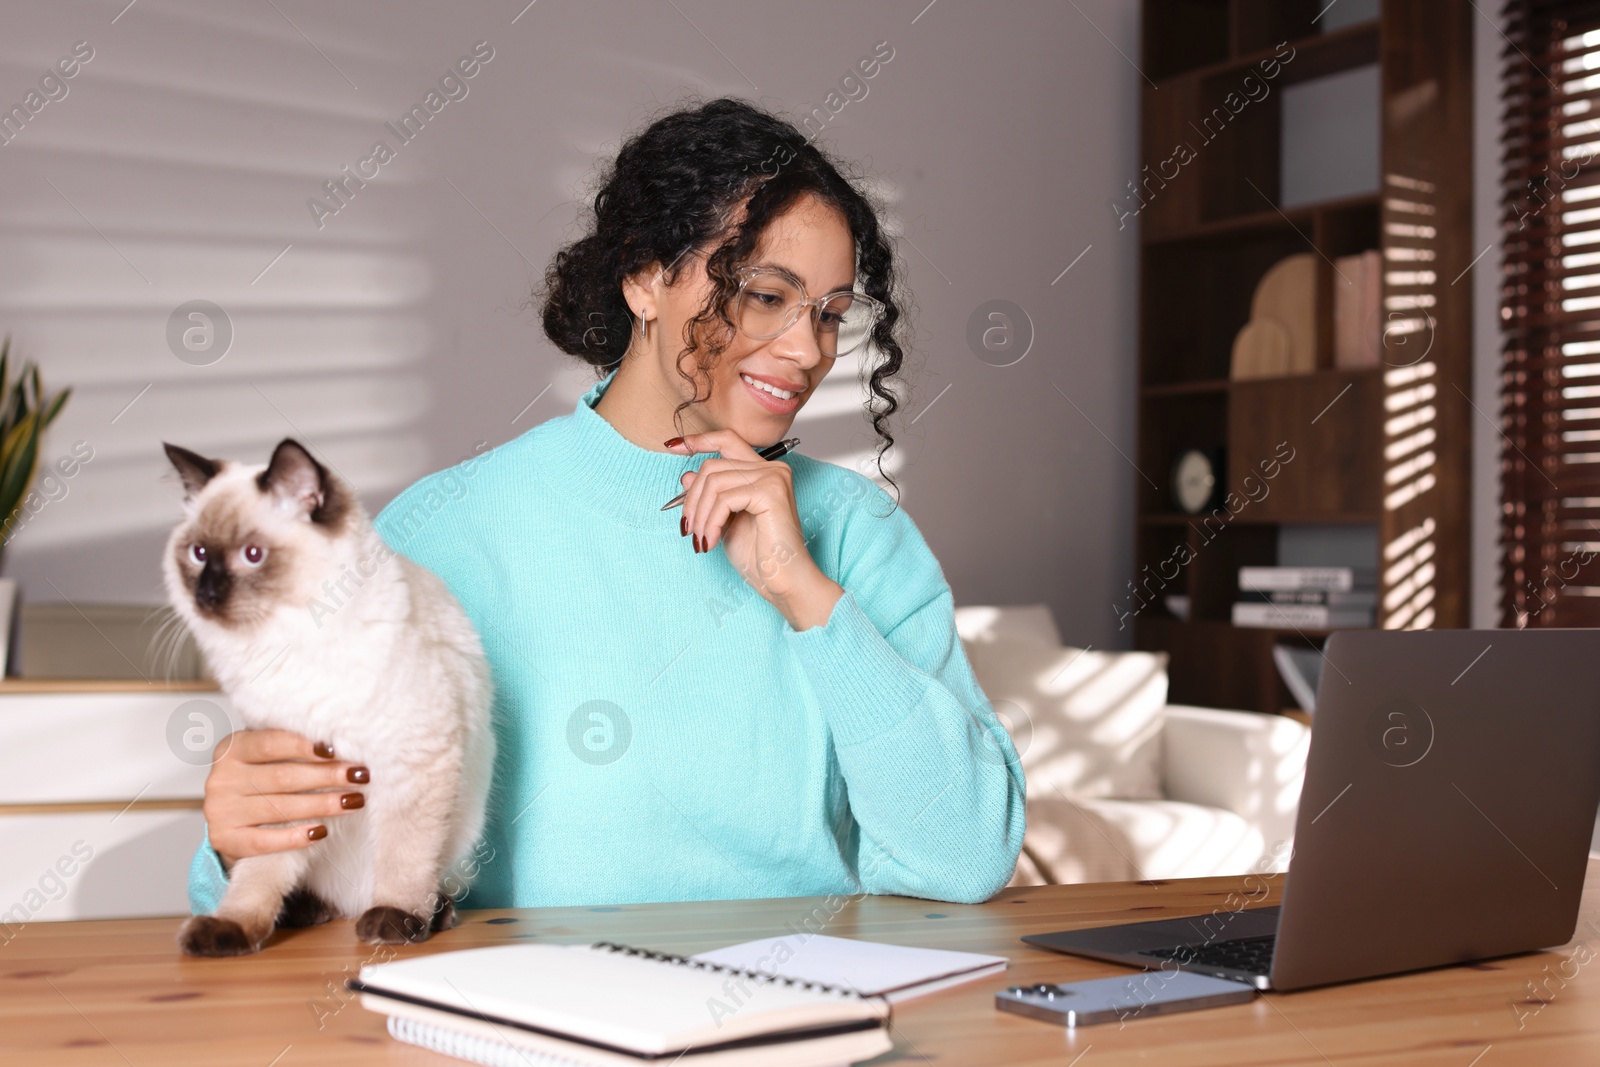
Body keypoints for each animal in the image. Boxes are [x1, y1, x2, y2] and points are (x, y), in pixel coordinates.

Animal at [162, 438, 496, 953]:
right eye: (198, 554)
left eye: (252, 554)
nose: (207, 595)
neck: (285, 642)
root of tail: (352, 900)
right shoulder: (288, 771)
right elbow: (260, 872)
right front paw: (235, 928)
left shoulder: (415, 762)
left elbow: (404, 857)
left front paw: (394, 919)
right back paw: (304, 912)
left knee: (420, 879)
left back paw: (423, 915)